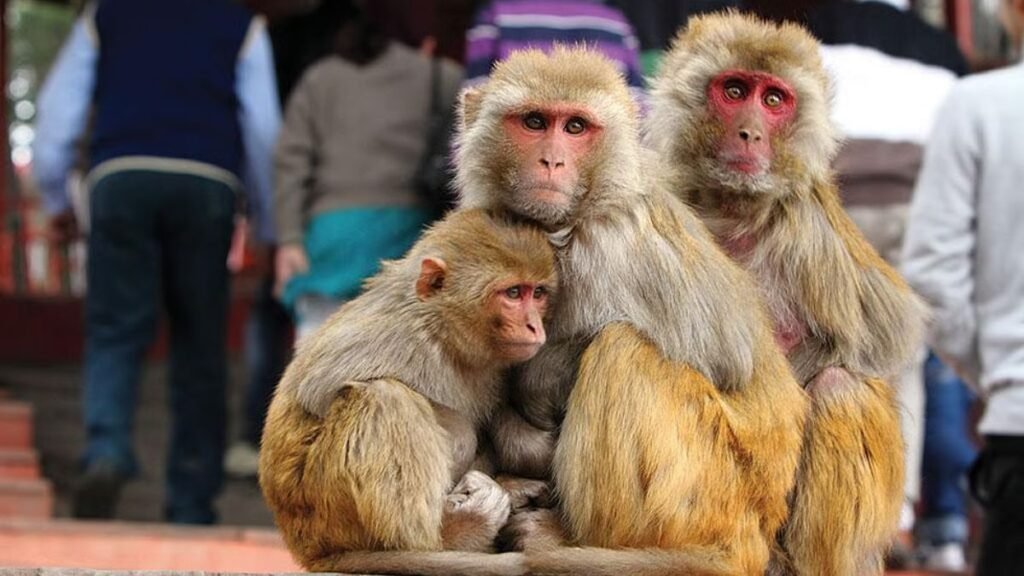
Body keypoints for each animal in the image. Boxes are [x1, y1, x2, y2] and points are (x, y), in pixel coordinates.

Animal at [258, 208, 558, 576]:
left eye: (537, 293)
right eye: (514, 293)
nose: (535, 326)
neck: (442, 330)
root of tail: (303, 545)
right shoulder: (400, 339)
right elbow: (319, 389)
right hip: (323, 510)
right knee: (385, 397)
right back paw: (448, 536)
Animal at [455, 47, 809, 575]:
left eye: (575, 127)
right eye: (535, 122)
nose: (552, 160)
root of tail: (755, 534)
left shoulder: (614, 241)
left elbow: (727, 355)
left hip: (706, 495)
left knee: (620, 349)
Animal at [644, 12, 929, 575]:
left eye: (774, 99)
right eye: (735, 91)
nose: (750, 131)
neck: (732, 211)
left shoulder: (810, 231)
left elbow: (882, 341)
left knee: (842, 387)